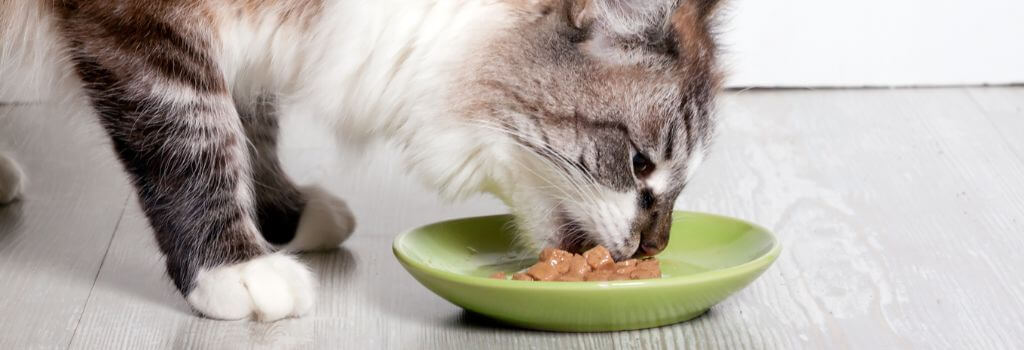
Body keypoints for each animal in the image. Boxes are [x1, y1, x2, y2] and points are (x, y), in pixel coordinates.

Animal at [0, 0, 720, 321]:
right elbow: (199, 135)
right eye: (640, 165)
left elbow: (252, 122)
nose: (654, 249)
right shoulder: (145, 26)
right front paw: (234, 266)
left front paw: (285, 214)